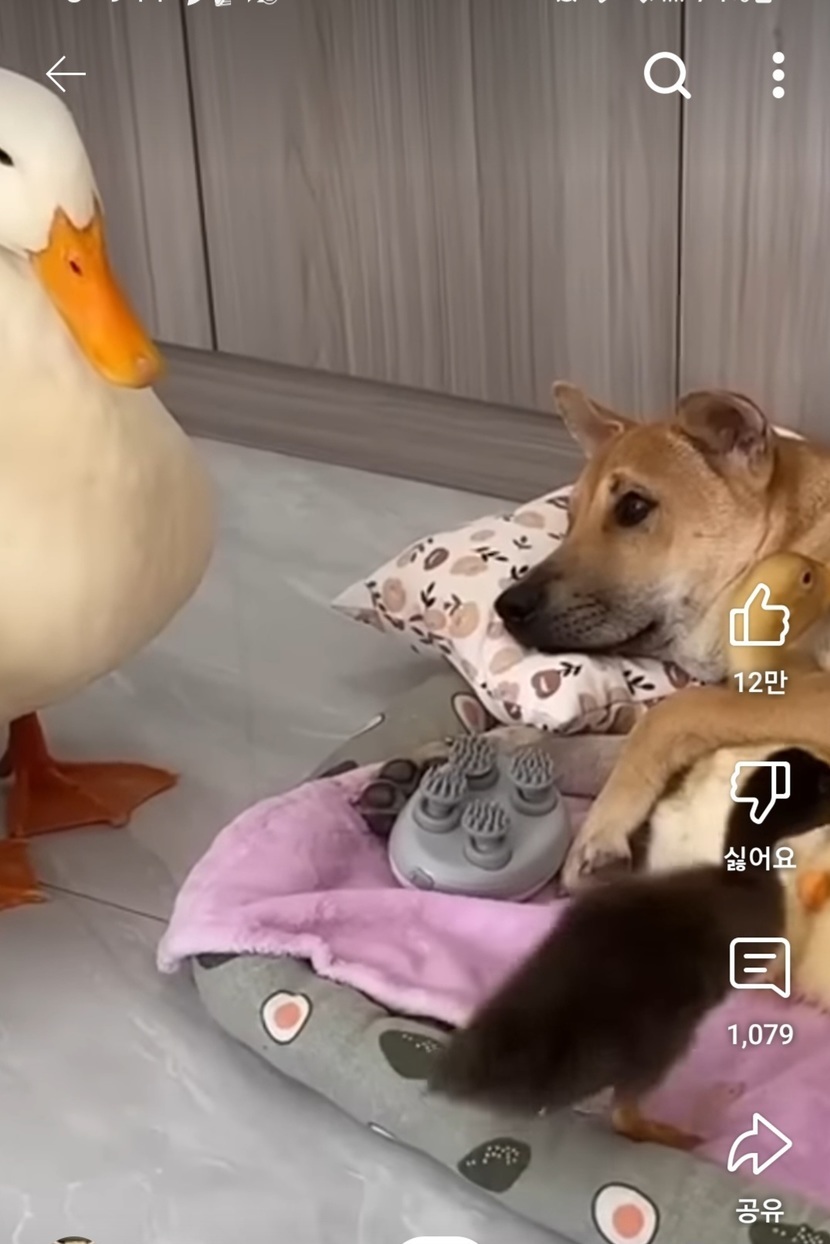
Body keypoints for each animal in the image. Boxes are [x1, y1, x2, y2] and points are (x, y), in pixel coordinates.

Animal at [493, 383, 830, 890]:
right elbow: (607, 747)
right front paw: (508, 746)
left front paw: (601, 830)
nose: (506, 607)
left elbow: (670, 714)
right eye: (569, 519)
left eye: (633, 508)